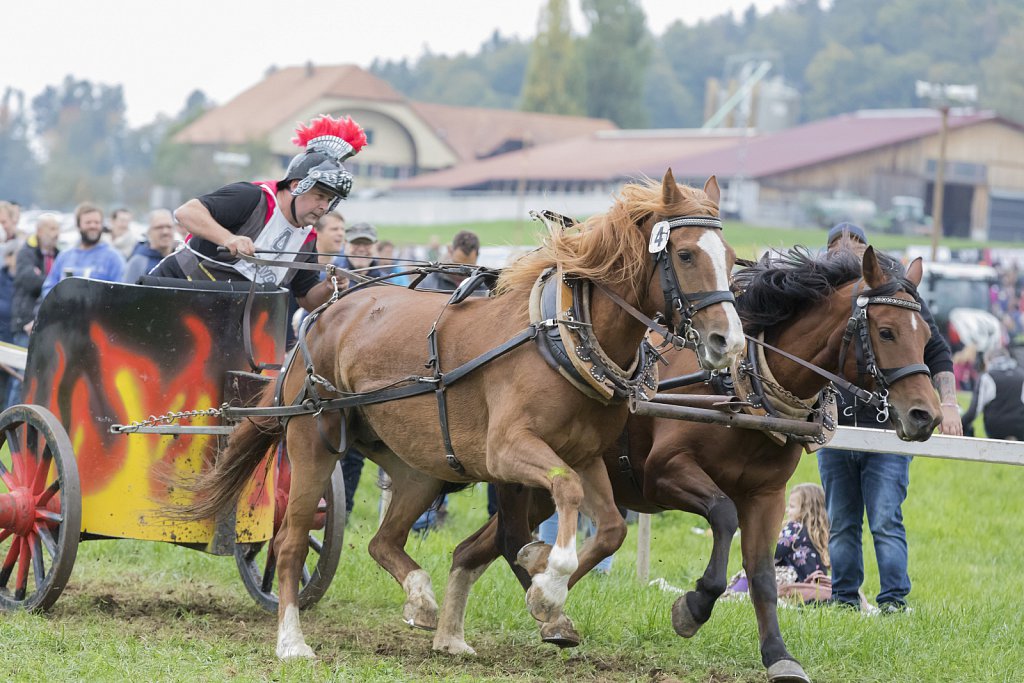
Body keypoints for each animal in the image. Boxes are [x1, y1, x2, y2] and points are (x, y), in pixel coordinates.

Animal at [176, 169, 745, 655]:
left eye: (733, 257)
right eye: (686, 254)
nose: (729, 341)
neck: (562, 336)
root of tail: (325, 310)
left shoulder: (586, 456)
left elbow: (609, 530)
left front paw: (545, 593)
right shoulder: (508, 450)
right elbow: (564, 492)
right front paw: (546, 577)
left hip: (420, 470)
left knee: (384, 540)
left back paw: (424, 603)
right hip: (312, 443)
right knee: (291, 543)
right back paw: (293, 641)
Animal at [436, 242, 937, 679]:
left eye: (928, 335)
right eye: (887, 331)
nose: (925, 415)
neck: (740, 389)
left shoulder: (768, 495)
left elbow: (761, 576)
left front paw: (779, 655)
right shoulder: (665, 473)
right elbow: (723, 514)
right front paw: (693, 607)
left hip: (543, 486)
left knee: (473, 548)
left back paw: (458, 629)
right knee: (508, 541)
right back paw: (538, 600)